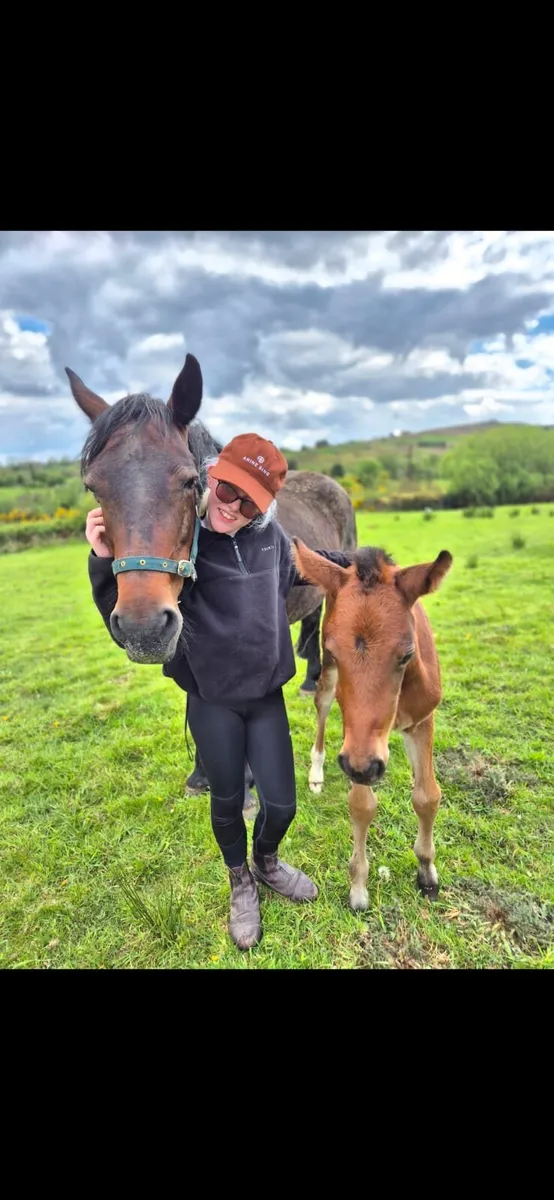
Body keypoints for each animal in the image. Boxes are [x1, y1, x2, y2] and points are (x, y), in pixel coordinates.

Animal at [290, 537, 452, 912]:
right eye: (337, 650)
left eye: (407, 654)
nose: (364, 769)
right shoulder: (356, 743)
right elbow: (362, 806)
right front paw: (358, 889)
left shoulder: (422, 721)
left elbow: (427, 796)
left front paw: (427, 873)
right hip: (328, 683)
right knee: (322, 708)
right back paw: (316, 772)